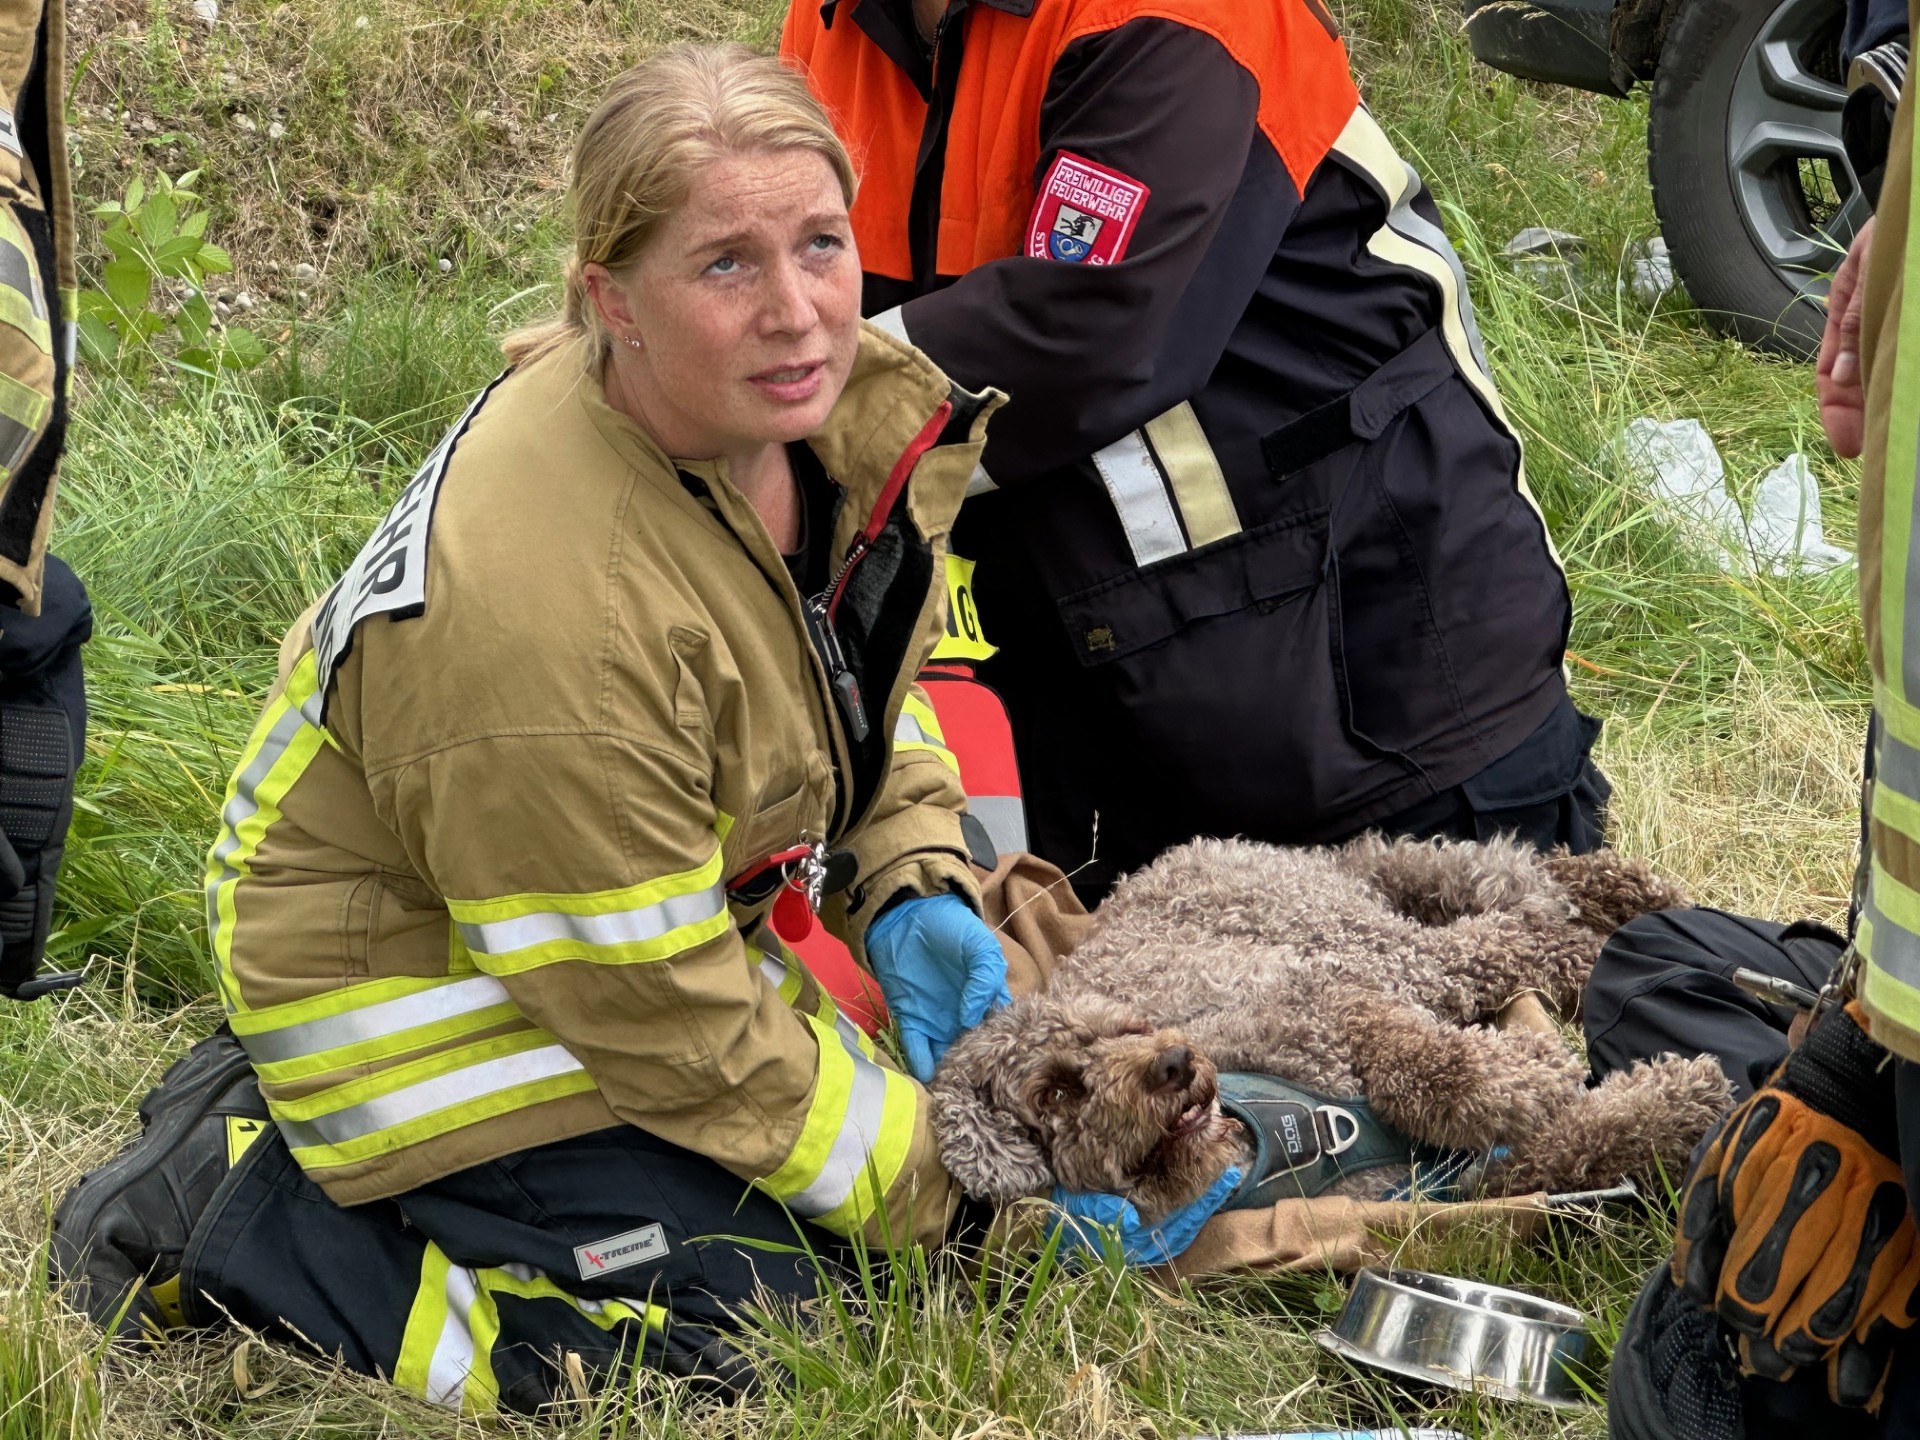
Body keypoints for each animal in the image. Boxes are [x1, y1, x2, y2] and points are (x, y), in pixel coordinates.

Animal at [930, 835, 1734, 1223]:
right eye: (1056, 1093)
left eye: (1128, 1025)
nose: (1175, 1063)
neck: (1265, 1138)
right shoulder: (1454, 1180)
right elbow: (1572, 1146)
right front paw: (1675, 1098)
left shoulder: (1325, 995)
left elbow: (1423, 1065)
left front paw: (1531, 1068)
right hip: (1373, 932)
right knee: (1516, 916)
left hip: (1365, 938)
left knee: (1518, 913)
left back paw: (1638, 905)